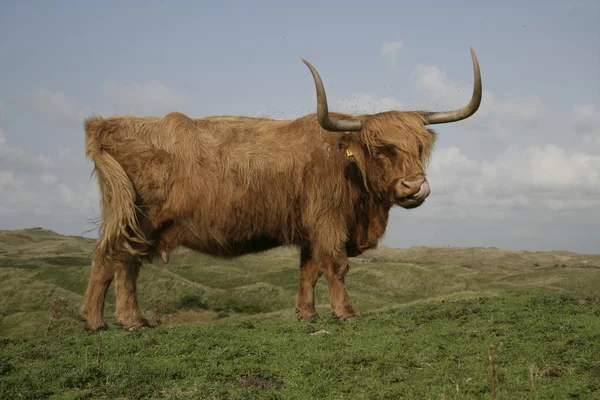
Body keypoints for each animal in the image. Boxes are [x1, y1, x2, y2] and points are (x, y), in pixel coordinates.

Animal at [81, 46, 482, 332]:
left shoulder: (311, 230)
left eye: (419, 147)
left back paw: (132, 321)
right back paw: (100, 321)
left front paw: (307, 313)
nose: (415, 186)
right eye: (379, 149)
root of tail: (105, 126)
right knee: (111, 260)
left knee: (124, 266)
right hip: (136, 219)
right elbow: (336, 265)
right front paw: (346, 312)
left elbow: (309, 270)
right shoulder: (328, 222)